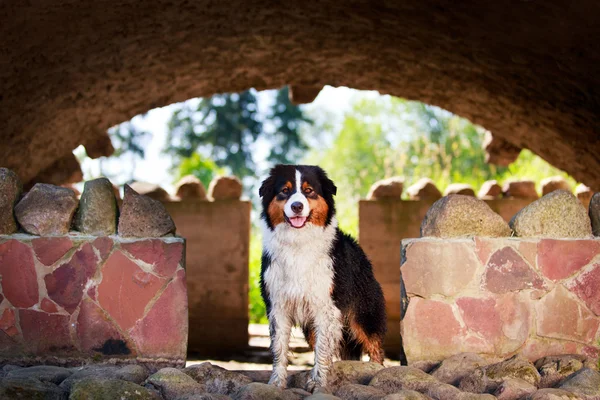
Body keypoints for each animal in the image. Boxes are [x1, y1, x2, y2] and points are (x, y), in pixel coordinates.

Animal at [260, 163, 386, 390]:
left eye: (309, 191)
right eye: (285, 190)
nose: (297, 206)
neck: (298, 244)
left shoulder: (327, 307)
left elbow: (323, 349)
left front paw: (317, 382)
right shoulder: (277, 305)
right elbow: (279, 348)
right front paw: (276, 383)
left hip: (364, 315)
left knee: (375, 347)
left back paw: (377, 373)